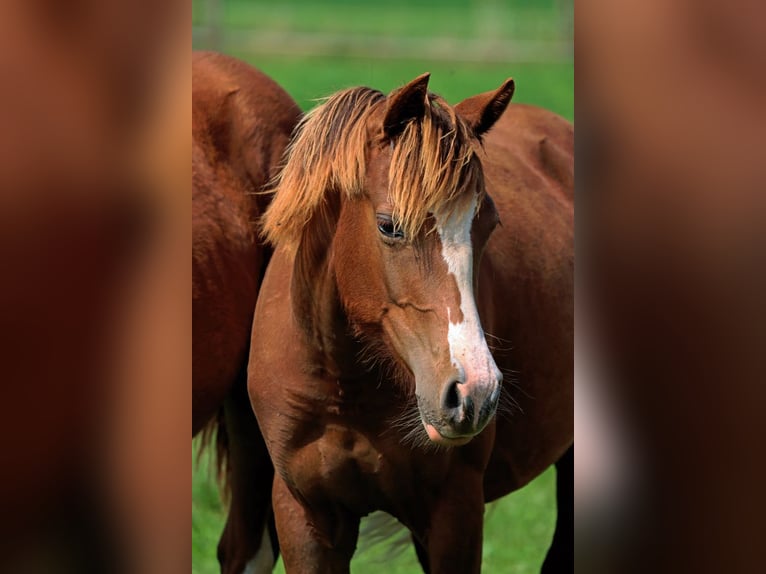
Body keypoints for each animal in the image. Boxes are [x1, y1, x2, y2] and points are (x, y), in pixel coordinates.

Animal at [249, 74, 572, 572]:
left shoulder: (454, 512)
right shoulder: (304, 515)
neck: (347, 386)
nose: (476, 392)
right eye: (389, 226)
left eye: (490, 223)